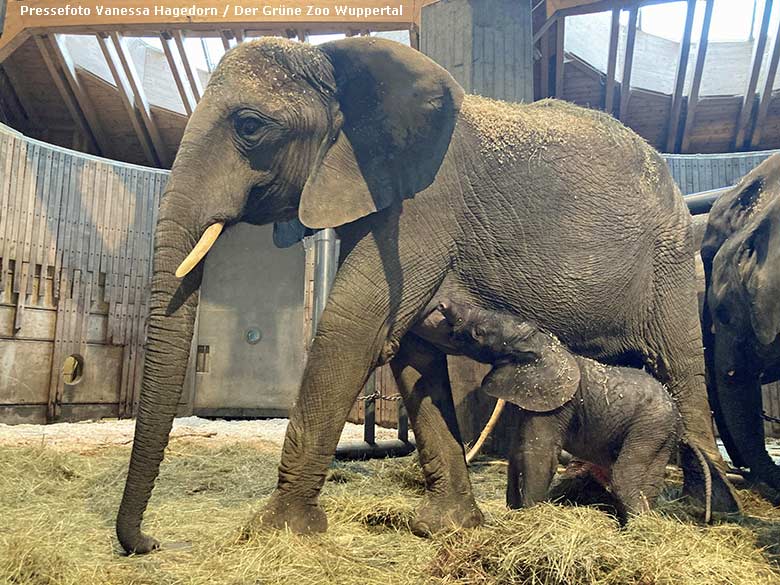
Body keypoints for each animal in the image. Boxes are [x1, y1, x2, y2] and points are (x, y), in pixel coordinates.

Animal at [119, 34, 728, 556]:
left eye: (249, 126)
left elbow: (352, 332)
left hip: (673, 264)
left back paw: (706, 516)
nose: (150, 543)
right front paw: (447, 528)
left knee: (682, 370)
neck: (338, 63)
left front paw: (276, 534)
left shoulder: (422, 208)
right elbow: (413, 353)